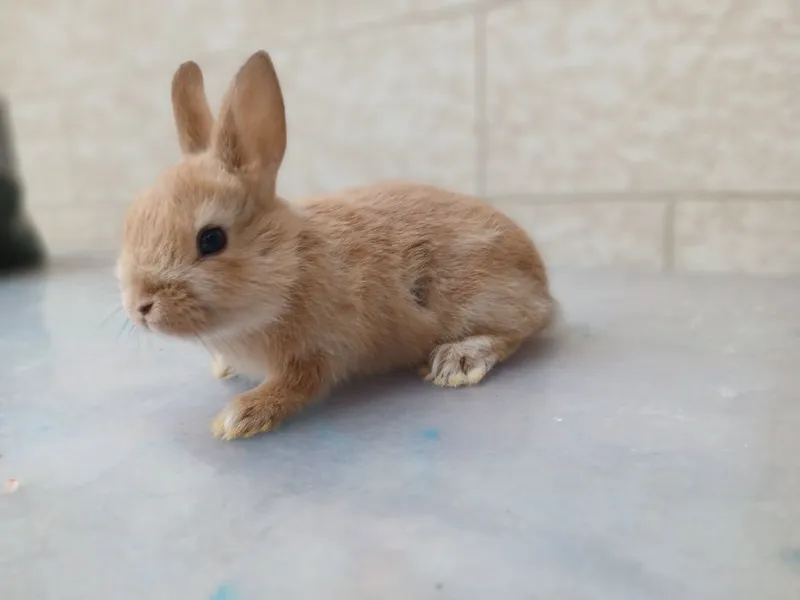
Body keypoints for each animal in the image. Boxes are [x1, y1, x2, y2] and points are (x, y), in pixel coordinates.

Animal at [117, 51, 556, 440]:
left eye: (211, 239)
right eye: (133, 217)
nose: (140, 307)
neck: (290, 267)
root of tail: (541, 281)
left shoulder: (319, 349)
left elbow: (296, 385)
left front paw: (238, 418)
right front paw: (225, 372)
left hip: (484, 297)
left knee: (522, 328)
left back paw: (457, 361)